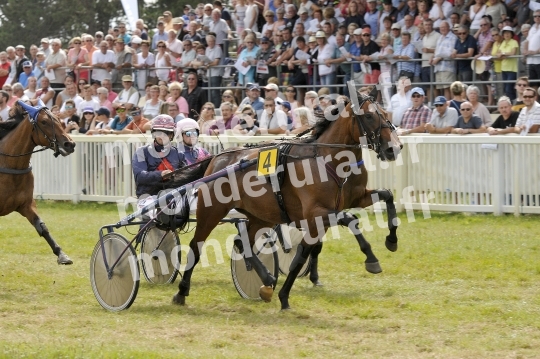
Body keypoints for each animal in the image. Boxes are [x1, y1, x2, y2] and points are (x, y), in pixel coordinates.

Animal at [0, 100, 76, 266]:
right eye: (44, 122)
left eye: (59, 120)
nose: (70, 144)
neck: (10, 165)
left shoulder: (26, 204)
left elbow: (41, 226)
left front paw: (62, 255)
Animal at [169, 94, 400, 310]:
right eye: (369, 116)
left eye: (386, 114)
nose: (394, 148)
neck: (328, 160)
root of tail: (218, 158)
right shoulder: (317, 212)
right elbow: (350, 220)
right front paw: (372, 259)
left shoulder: (353, 199)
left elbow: (387, 195)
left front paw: (392, 240)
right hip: (212, 211)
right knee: (196, 246)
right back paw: (181, 292)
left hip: (261, 216)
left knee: (241, 242)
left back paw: (267, 280)